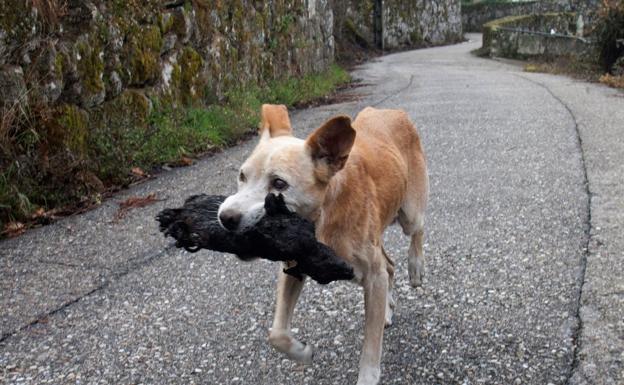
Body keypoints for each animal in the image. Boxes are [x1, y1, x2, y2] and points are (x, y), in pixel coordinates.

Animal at [217, 103, 426, 382]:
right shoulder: (292, 268)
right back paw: (387, 309)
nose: (225, 217)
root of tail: (390, 111)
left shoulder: (373, 276)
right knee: (390, 266)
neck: (322, 218)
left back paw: (416, 266)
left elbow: (371, 348)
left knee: (417, 230)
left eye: (279, 183)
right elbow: (277, 334)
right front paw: (302, 353)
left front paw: (367, 377)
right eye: (242, 176)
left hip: (409, 213)